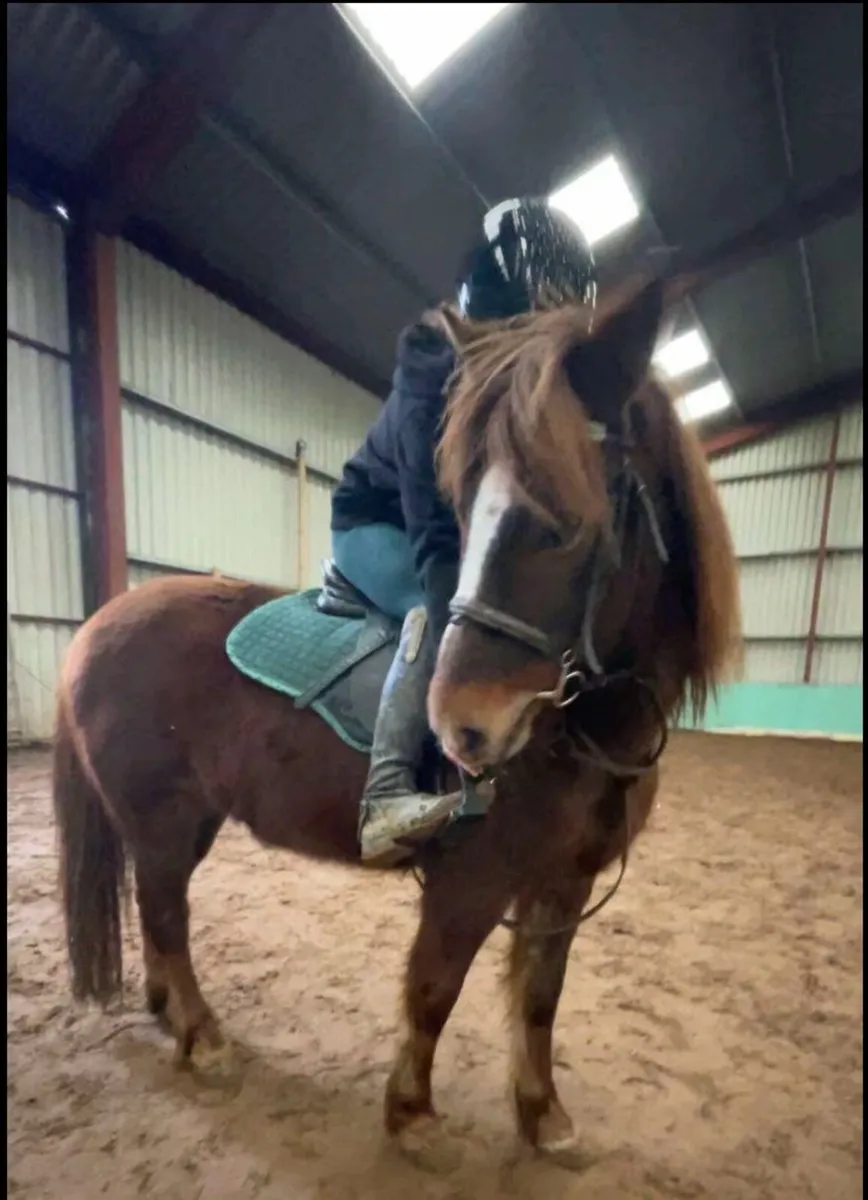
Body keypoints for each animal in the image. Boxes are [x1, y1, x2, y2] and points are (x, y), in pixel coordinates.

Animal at [52, 277, 741, 1159]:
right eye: (464, 499)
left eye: (564, 518)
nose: (467, 731)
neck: (579, 733)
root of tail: (94, 628)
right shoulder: (469, 881)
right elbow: (434, 989)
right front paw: (411, 1112)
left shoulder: (565, 883)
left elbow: (541, 999)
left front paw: (542, 1114)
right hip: (162, 819)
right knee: (166, 915)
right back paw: (203, 1039)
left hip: (184, 822)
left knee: (155, 911)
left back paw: (170, 1014)